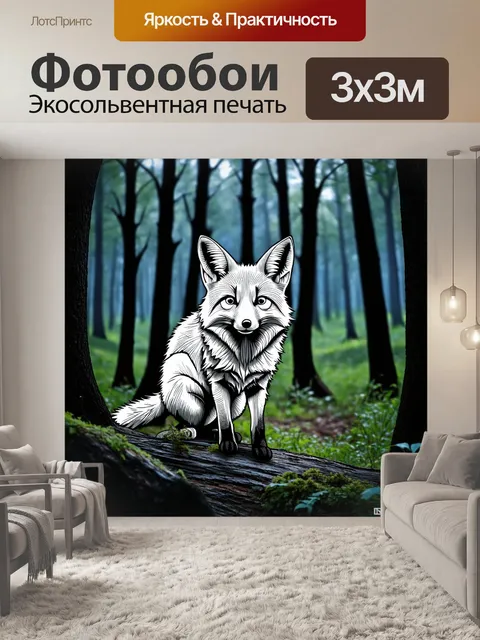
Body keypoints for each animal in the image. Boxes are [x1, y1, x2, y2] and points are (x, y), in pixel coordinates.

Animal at [113, 234, 295, 460]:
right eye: (230, 301)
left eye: (261, 301)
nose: (246, 323)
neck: (244, 356)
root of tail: (163, 396)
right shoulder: (218, 381)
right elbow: (225, 421)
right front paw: (227, 445)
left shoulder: (258, 385)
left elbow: (258, 425)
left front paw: (260, 448)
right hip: (185, 387)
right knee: (189, 423)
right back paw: (181, 432)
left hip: (239, 401)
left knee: (209, 424)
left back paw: (213, 433)